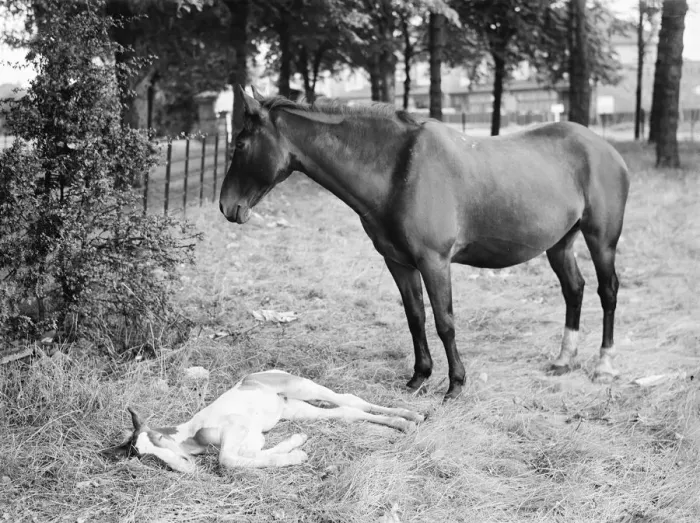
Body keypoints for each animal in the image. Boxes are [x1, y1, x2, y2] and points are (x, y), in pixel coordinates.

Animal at [101, 370, 423, 472]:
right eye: (147, 459)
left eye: (159, 438)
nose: (184, 467)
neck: (193, 434)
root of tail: (254, 376)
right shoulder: (253, 441)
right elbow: (251, 456)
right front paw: (297, 447)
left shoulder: (237, 427)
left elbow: (225, 460)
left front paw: (297, 454)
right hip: (295, 409)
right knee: (348, 412)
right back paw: (406, 422)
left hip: (302, 387)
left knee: (349, 398)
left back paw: (413, 416)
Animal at [219, 85, 630, 401]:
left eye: (240, 143)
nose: (226, 206)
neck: (398, 169)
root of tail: (605, 148)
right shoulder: (399, 263)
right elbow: (415, 317)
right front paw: (419, 377)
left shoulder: (434, 261)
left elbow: (445, 321)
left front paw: (455, 384)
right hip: (560, 243)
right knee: (574, 289)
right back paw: (564, 360)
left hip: (601, 239)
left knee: (607, 291)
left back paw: (605, 365)